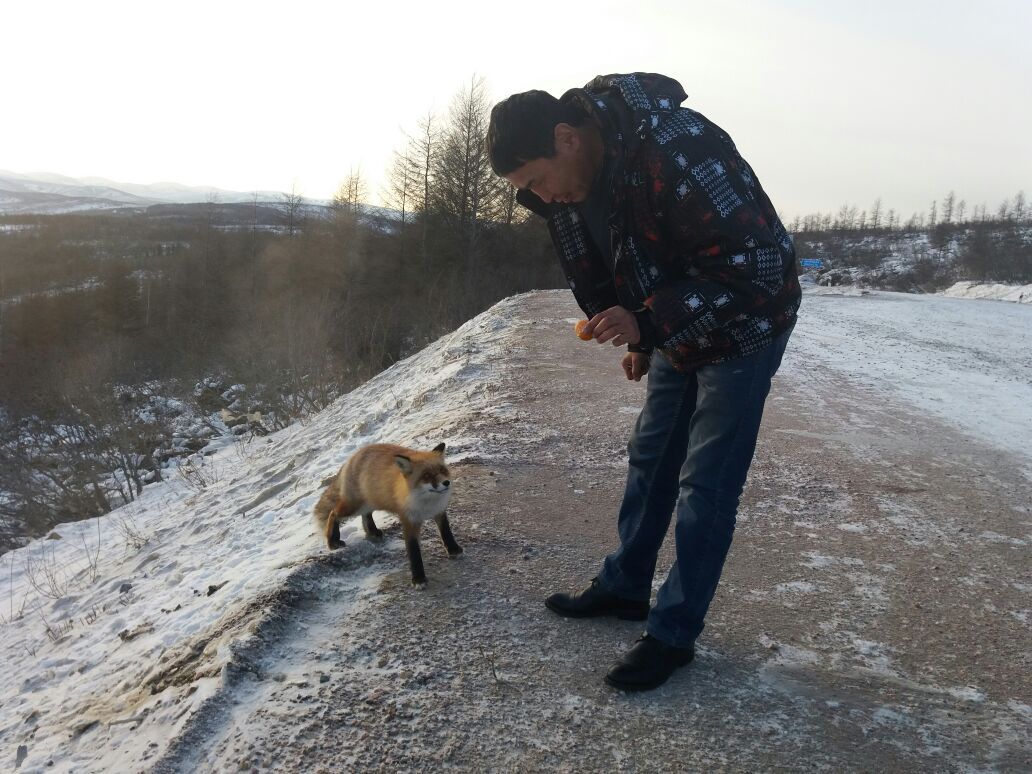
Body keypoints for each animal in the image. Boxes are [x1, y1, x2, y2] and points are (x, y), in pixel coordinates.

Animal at [311, 441, 462, 586]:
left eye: (442, 470)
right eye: (427, 476)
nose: (446, 482)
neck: (427, 504)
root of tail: (352, 458)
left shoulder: (439, 511)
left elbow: (446, 532)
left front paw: (453, 549)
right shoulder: (409, 521)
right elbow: (413, 551)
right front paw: (418, 579)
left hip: (371, 502)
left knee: (366, 515)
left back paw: (372, 531)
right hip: (354, 506)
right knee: (333, 513)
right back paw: (333, 541)